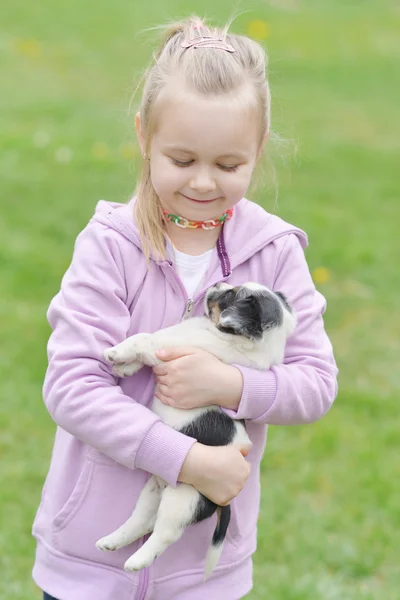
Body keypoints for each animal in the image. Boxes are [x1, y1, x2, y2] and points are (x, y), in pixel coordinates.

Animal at [97, 284, 296, 580]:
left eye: (230, 295)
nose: (217, 284)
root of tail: (223, 503)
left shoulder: (167, 350)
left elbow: (143, 339)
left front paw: (115, 353)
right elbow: (145, 348)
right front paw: (126, 367)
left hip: (182, 501)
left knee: (164, 534)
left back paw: (136, 561)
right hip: (153, 492)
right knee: (142, 522)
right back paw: (111, 541)